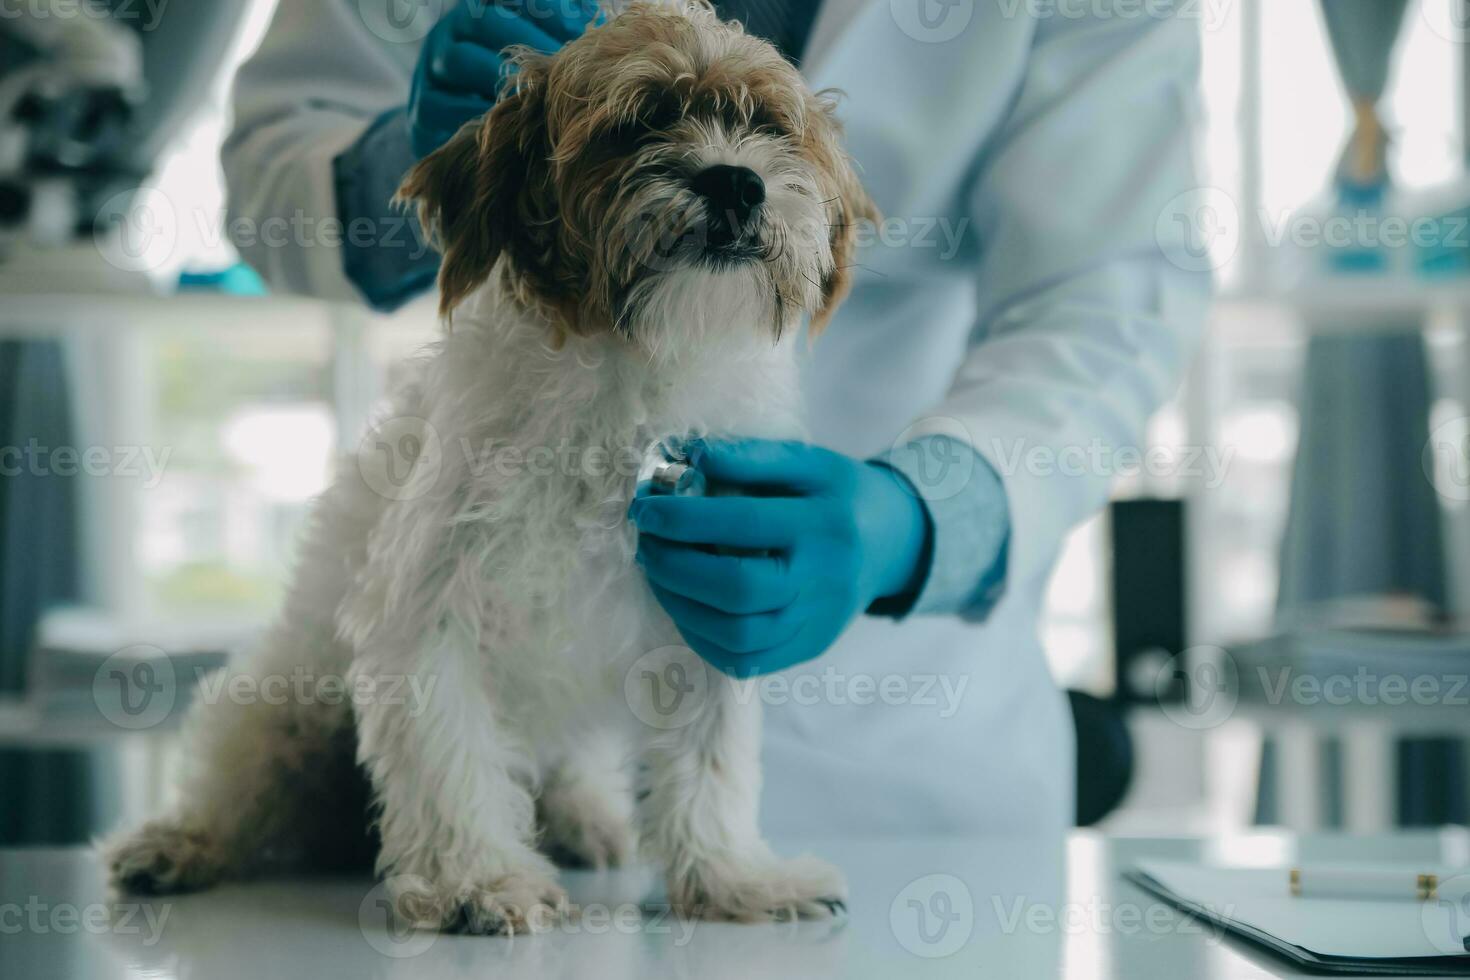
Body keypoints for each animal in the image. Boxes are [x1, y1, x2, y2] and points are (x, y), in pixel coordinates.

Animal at [108, 0, 876, 934]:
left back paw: (585, 822)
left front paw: (733, 880)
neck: (634, 369)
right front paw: (476, 881)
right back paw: (176, 845)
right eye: (639, 122)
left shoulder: (711, 607)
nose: (737, 182)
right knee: (235, 788)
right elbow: (450, 758)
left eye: (768, 127)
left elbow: (710, 767)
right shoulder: (429, 611)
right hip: (280, 709)